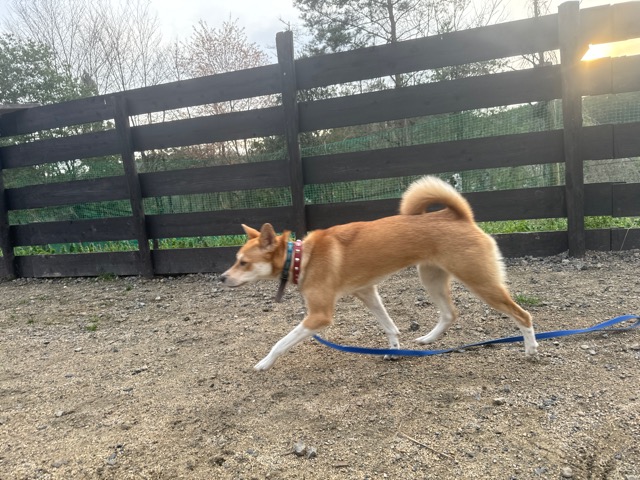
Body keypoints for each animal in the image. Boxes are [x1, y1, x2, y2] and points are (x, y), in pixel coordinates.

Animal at [220, 176, 538, 371]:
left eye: (243, 263)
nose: (222, 278)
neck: (300, 258)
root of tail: (458, 216)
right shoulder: (367, 292)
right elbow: (389, 326)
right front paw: (395, 349)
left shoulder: (319, 316)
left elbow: (281, 342)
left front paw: (264, 362)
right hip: (431, 277)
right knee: (450, 314)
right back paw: (427, 341)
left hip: (480, 282)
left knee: (523, 315)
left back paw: (531, 349)